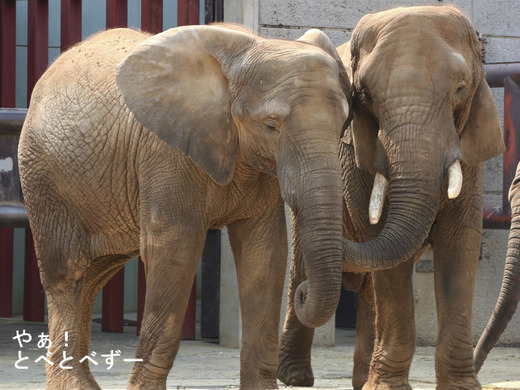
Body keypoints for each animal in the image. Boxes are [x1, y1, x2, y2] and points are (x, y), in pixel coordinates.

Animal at [19, 25, 354, 390]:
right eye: (270, 126)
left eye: (344, 123)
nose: (303, 293)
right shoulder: (166, 153)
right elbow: (175, 249)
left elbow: (265, 253)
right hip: (43, 176)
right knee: (69, 274)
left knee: (93, 277)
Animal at [278, 6, 506, 390]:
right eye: (365, 96)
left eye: (461, 89)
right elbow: (388, 254)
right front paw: (387, 388)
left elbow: (460, 246)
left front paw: (460, 386)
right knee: (305, 268)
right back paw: (294, 377)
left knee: (371, 287)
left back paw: (360, 380)